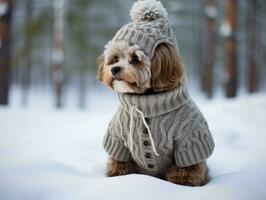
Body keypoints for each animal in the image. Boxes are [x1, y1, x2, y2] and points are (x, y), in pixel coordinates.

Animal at [95, 0, 214, 186]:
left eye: (135, 59)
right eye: (115, 59)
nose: (114, 69)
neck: (147, 104)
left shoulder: (189, 142)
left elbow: (186, 171)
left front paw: (181, 185)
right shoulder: (118, 141)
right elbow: (119, 164)